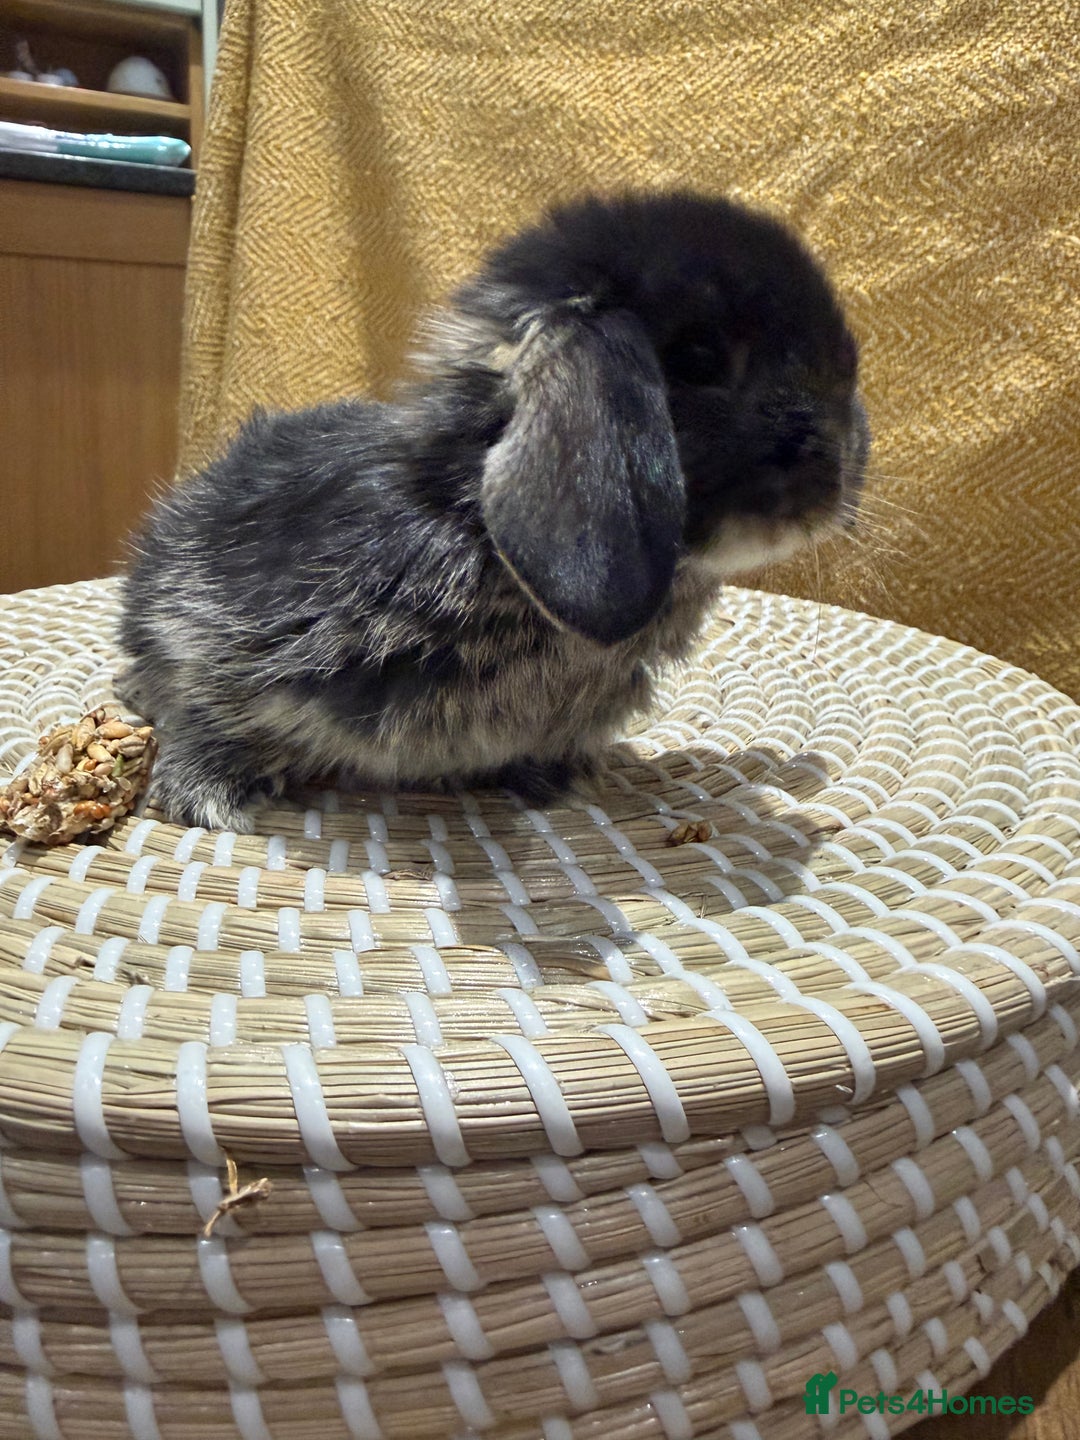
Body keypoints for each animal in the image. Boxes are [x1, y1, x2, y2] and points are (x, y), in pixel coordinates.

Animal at [117, 189, 869, 832]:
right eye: (698, 358)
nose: (837, 475)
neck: (468, 523)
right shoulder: (226, 637)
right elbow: (214, 701)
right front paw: (205, 792)